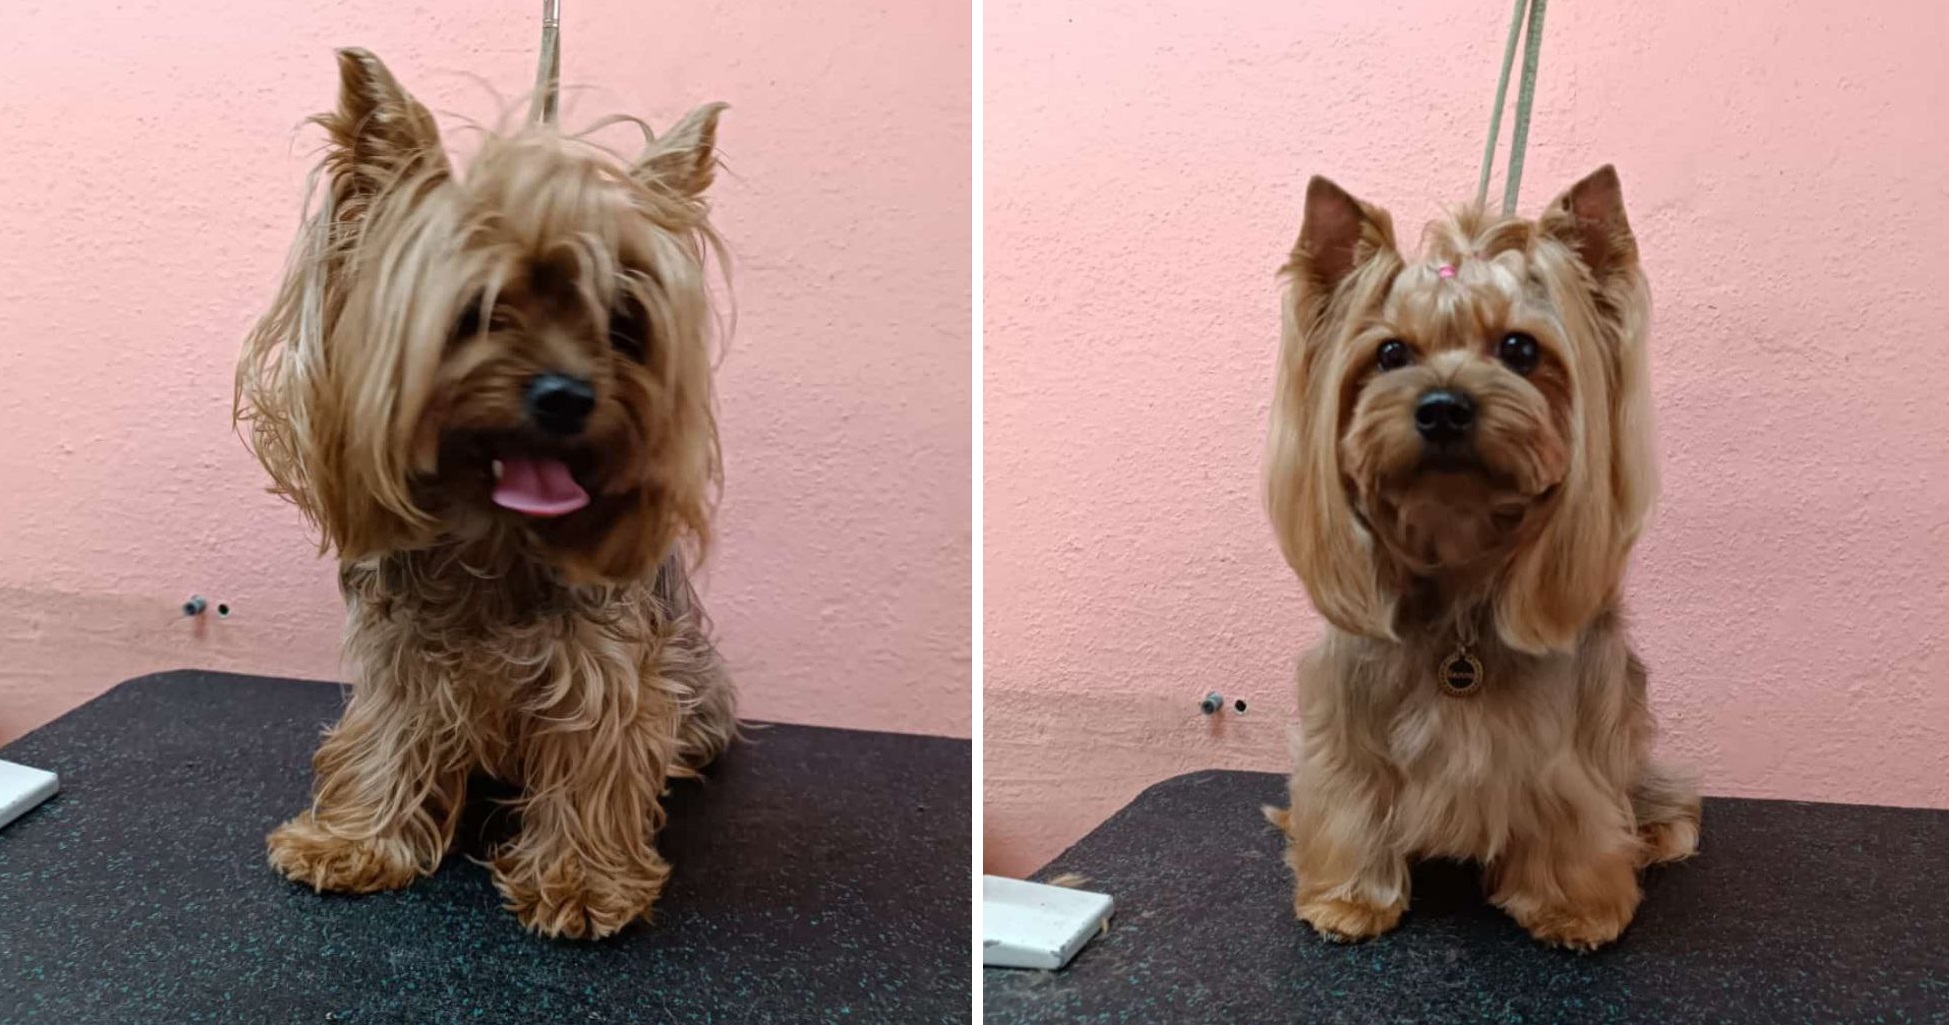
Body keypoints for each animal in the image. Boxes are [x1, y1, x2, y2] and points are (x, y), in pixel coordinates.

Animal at [234, 48, 736, 939]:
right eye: (478, 308)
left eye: (622, 320)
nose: (568, 396)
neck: (492, 533)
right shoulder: (402, 652)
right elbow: (388, 731)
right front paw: (353, 839)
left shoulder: (607, 657)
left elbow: (600, 747)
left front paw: (582, 879)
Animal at [1261, 166, 1698, 951]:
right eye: (1390, 353)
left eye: (1521, 350)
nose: (1442, 407)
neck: (1458, 548)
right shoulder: (1347, 725)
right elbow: (1349, 795)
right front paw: (1348, 898)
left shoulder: (1566, 747)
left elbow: (1573, 810)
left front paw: (1573, 907)